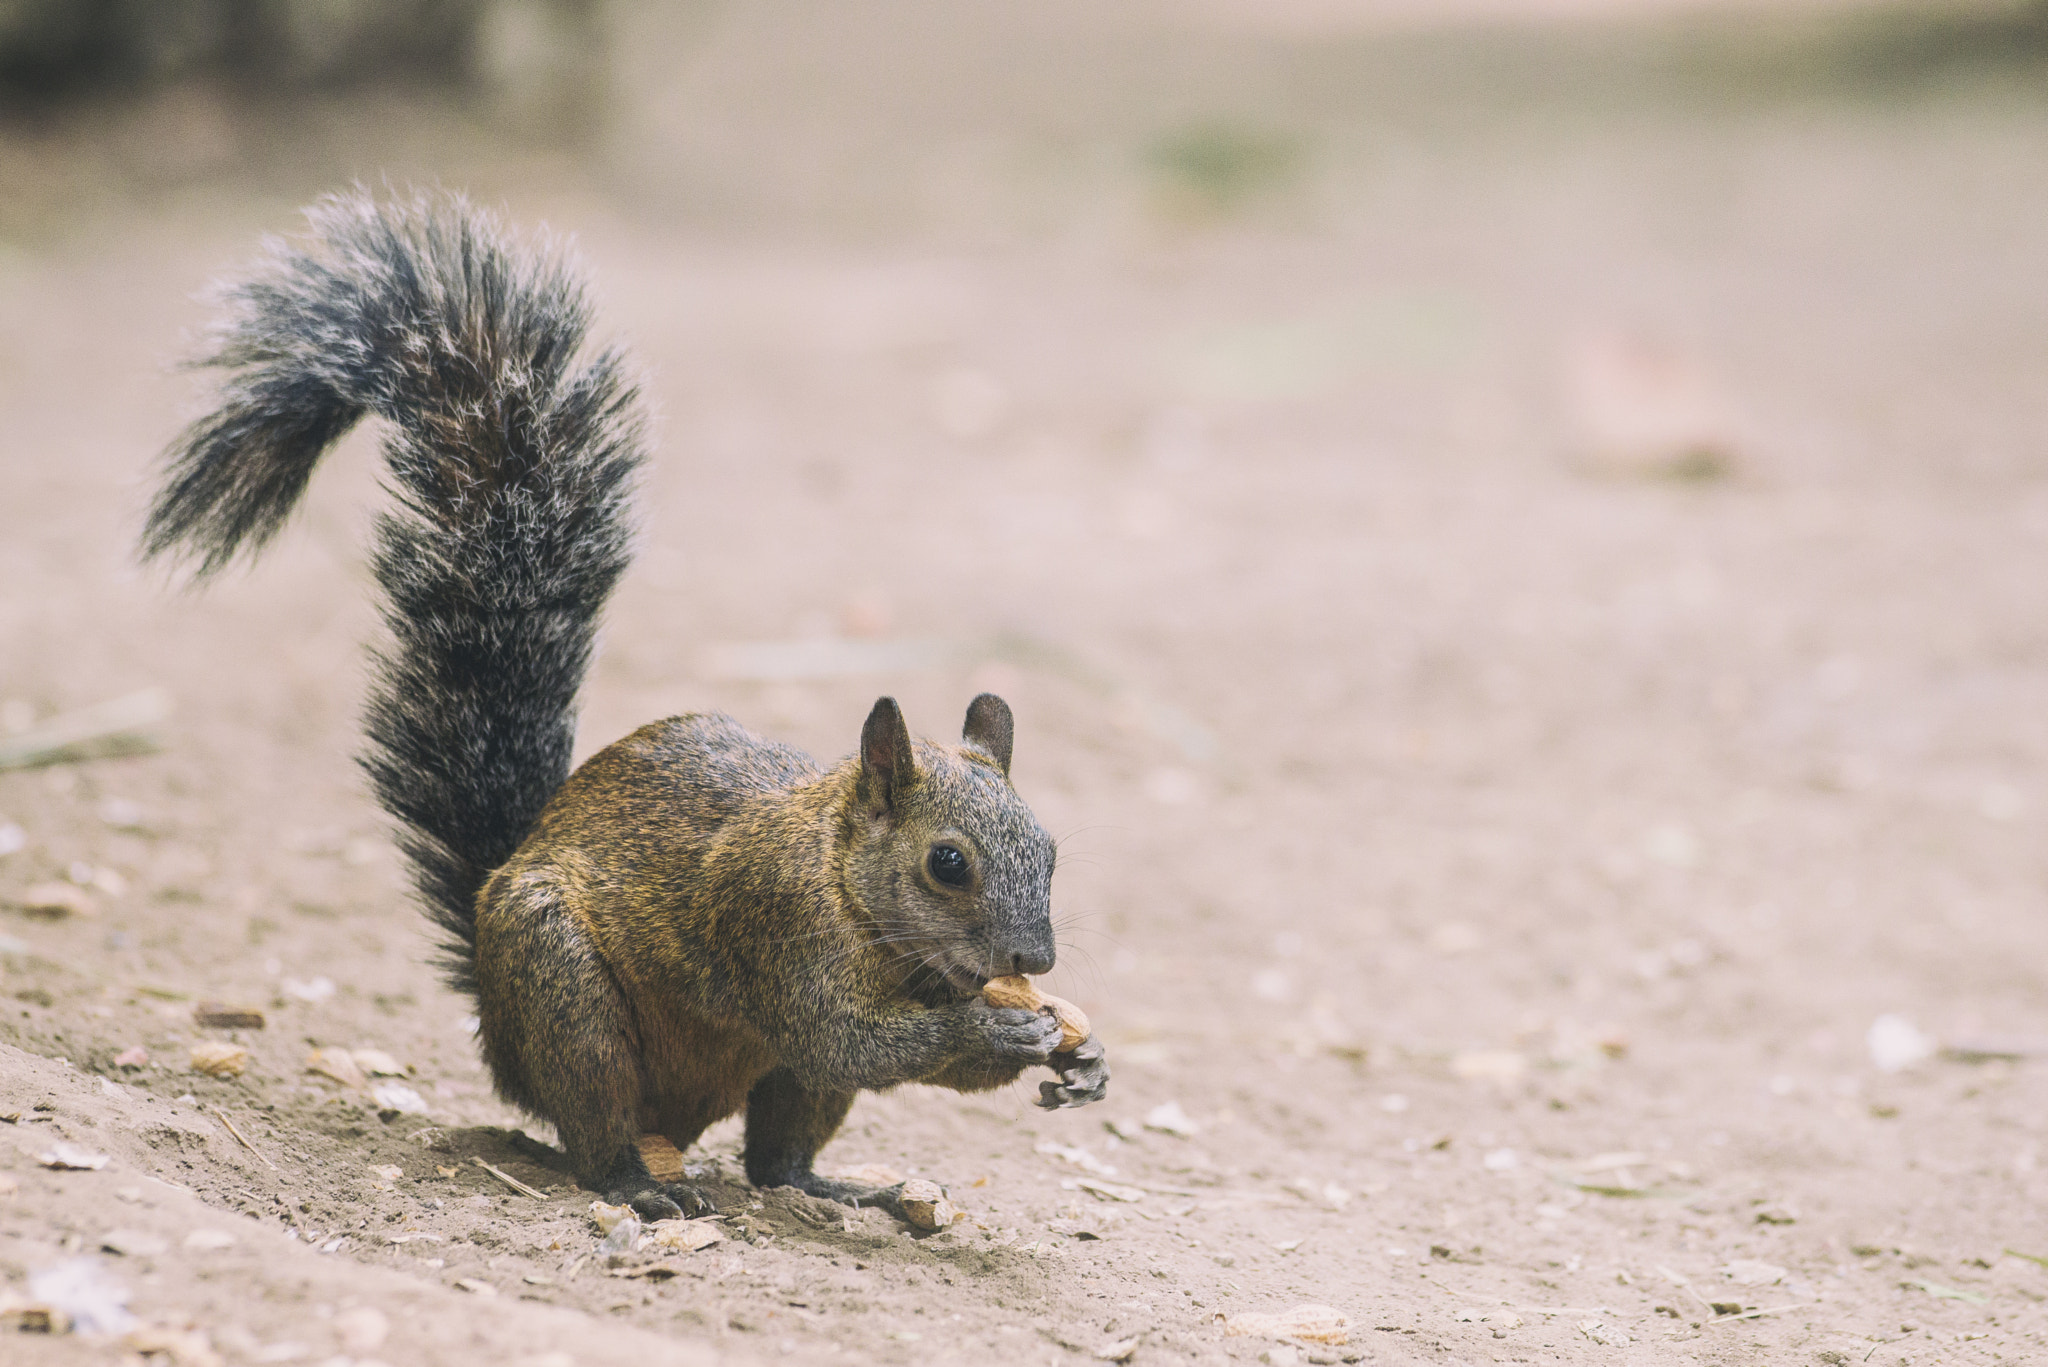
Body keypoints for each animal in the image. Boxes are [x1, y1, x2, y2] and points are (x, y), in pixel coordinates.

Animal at [140, 190, 1109, 1223]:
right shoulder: (776, 924)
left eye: (1050, 850)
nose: (1035, 961)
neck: (847, 881)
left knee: (778, 1156)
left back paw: (844, 1187)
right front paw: (998, 1033)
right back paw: (642, 1186)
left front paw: (1085, 1056)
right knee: (602, 1128)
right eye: (946, 863)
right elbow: (850, 1037)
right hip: (568, 1000)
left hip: (765, 1080)